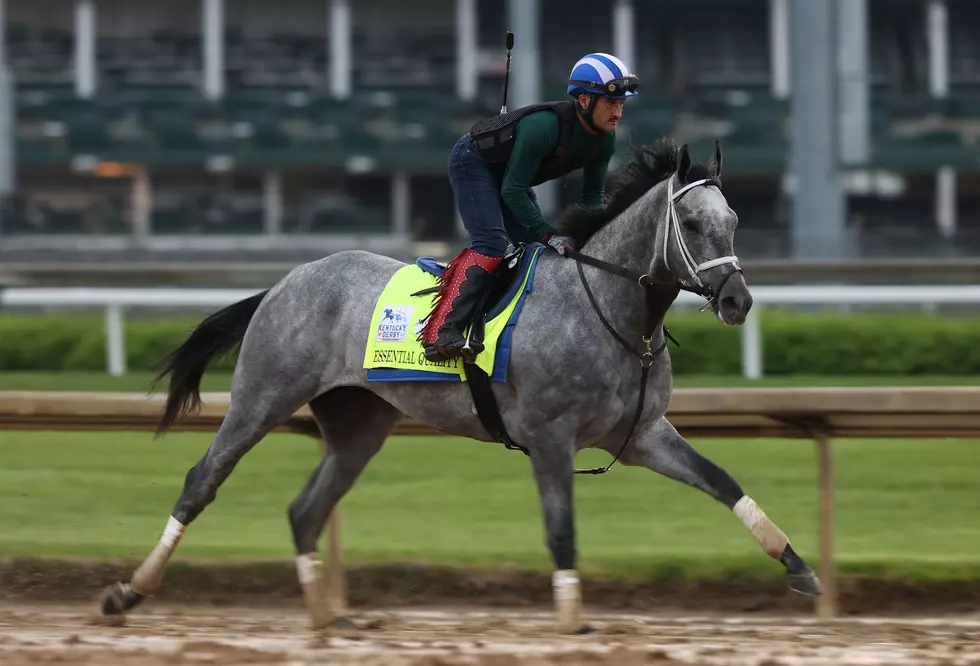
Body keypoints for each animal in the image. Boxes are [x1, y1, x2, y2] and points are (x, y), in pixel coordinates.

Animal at [99, 139, 820, 632]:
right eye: (692, 225)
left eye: (734, 221)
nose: (737, 301)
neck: (608, 309)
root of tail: (282, 283)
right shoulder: (550, 436)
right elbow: (562, 529)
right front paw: (572, 618)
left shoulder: (641, 433)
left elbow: (725, 483)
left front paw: (798, 566)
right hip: (263, 396)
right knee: (203, 480)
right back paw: (127, 590)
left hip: (358, 425)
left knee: (306, 510)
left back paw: (324, 618)